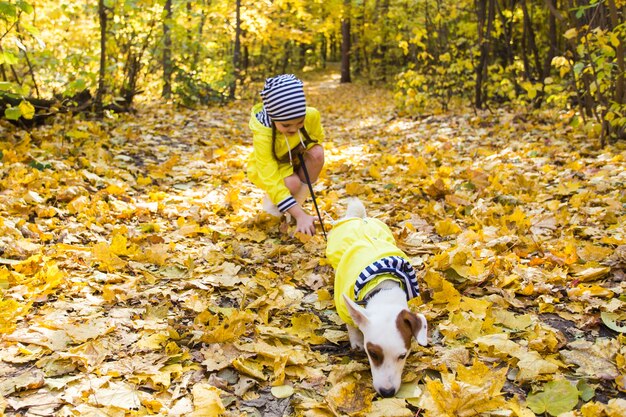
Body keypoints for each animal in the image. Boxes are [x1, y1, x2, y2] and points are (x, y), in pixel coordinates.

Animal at [324, 198, 426, 396]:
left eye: (403, 355)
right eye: (372, 353)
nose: (387, 392)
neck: (383, 289)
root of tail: (360, 218)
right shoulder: (344, 303)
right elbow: (351, 323)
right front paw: (356, 339)